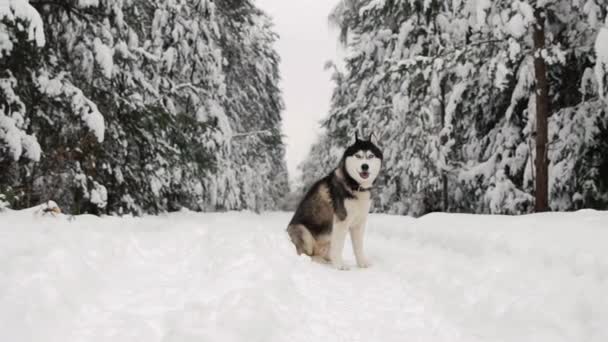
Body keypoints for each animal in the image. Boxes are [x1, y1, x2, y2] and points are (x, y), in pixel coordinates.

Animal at [288, 133, 382, 270]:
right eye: (358, 156)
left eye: (370, 156)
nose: (365, 166)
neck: (355, 185)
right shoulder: (341, 221)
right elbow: (339, 247)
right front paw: (340, 266)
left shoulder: (359, 223)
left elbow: (358, 247)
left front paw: (362, 264)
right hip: (302, 231)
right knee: (307, 255)